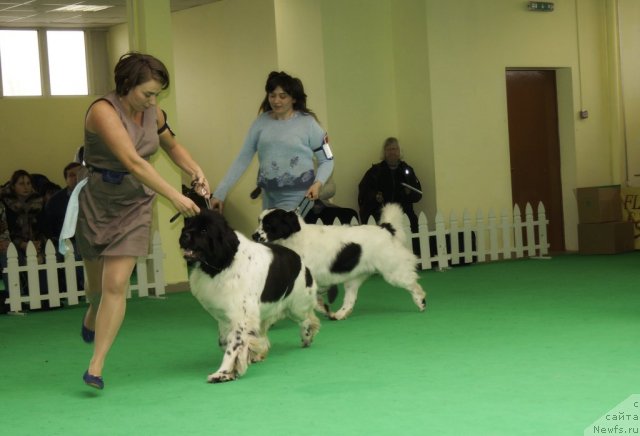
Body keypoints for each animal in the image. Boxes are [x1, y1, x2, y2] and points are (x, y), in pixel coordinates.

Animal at [180, 209, 320, 384]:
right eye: (188, 224)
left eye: (204, 230)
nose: (184, 235)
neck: (226, 263)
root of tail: (301, 262)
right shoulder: (226, 317)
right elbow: (225, 342)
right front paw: (239, 364)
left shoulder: (241, 318)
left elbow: (233, 346)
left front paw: (223, 373)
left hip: (296, 307)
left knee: (308, 319)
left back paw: (307, 337)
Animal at [252, 202, 428, 320]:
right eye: (259, 221)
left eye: (269, 224)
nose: (254, 235)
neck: (294, 237)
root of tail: (386, 228)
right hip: (353, 279)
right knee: (350, 300)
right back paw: (340, 314)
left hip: (393, 270)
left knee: (413, 284)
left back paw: (421, 302)